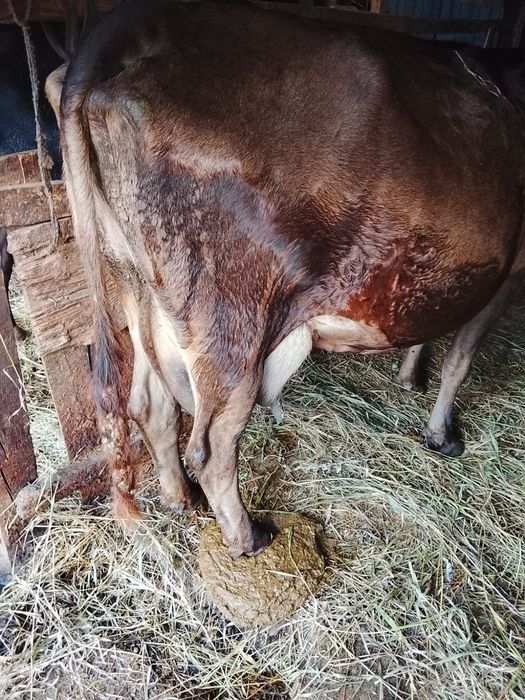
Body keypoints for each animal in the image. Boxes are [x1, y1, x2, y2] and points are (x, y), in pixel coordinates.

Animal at [46, 0, 525, 557]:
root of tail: (129, 28)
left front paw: (409, 377)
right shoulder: (509, 271)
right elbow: (460, 360)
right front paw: (441, 433)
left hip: (136, 284)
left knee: (150, 404)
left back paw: (179, 500)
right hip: (232, 325)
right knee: (212, 446)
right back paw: (248, 536)